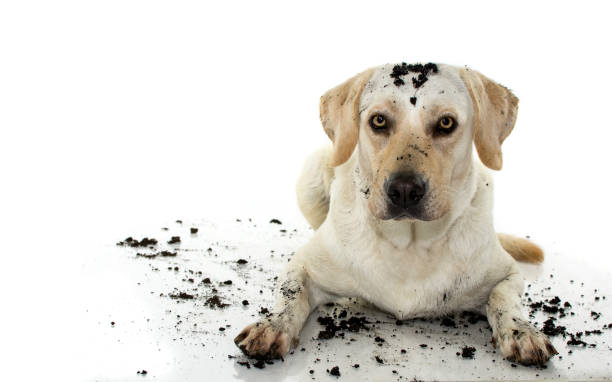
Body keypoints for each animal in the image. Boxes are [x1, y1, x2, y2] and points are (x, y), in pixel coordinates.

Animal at [235, 63, 560, 368]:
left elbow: (504, 298)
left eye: (446, 123)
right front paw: (273, 326)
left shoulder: (507, 274)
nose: (404, 190)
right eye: (378, 121)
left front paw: (522, 331)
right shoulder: (303, 265)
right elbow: (291, 293)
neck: (410, 245)